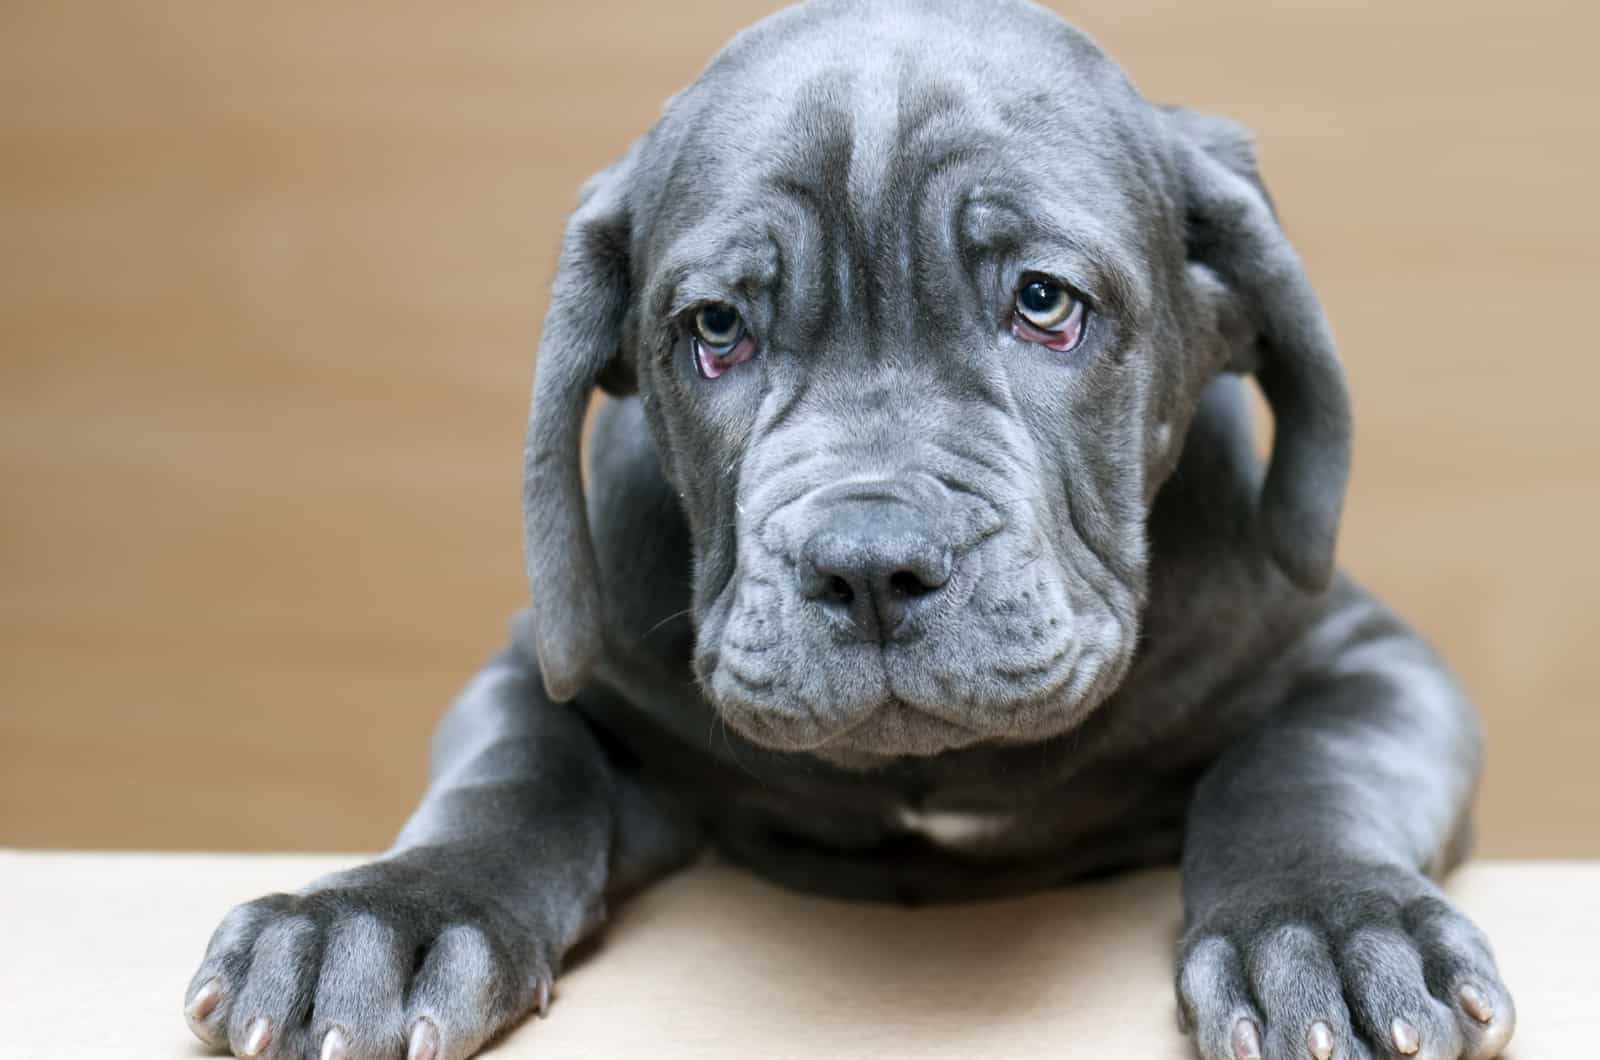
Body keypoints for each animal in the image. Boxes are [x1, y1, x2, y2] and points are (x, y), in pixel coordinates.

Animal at [184, 2, 1510, 1060]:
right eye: (717, 327)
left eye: (1044, 302)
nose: (870, 567)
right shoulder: (550, 675)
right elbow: (511, 775)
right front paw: (382, 919)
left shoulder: (1370, 663)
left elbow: (1304, 767)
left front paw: (1327, 926)